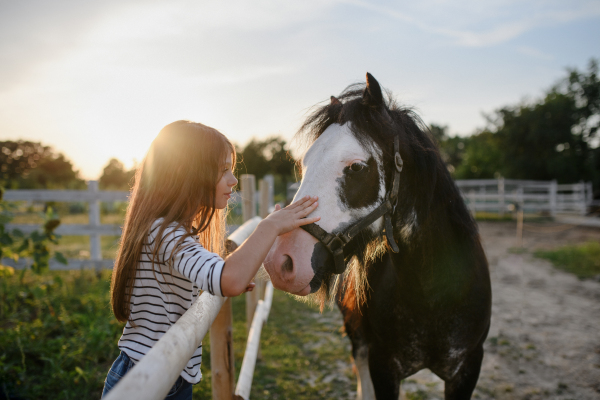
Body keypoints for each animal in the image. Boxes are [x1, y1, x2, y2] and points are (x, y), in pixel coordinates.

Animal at [264, 72, 490, 400]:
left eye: (357, 167)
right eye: (304, 164)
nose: (282, 263)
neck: (435, 292)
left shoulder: (467, 369)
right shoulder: (382, 365)